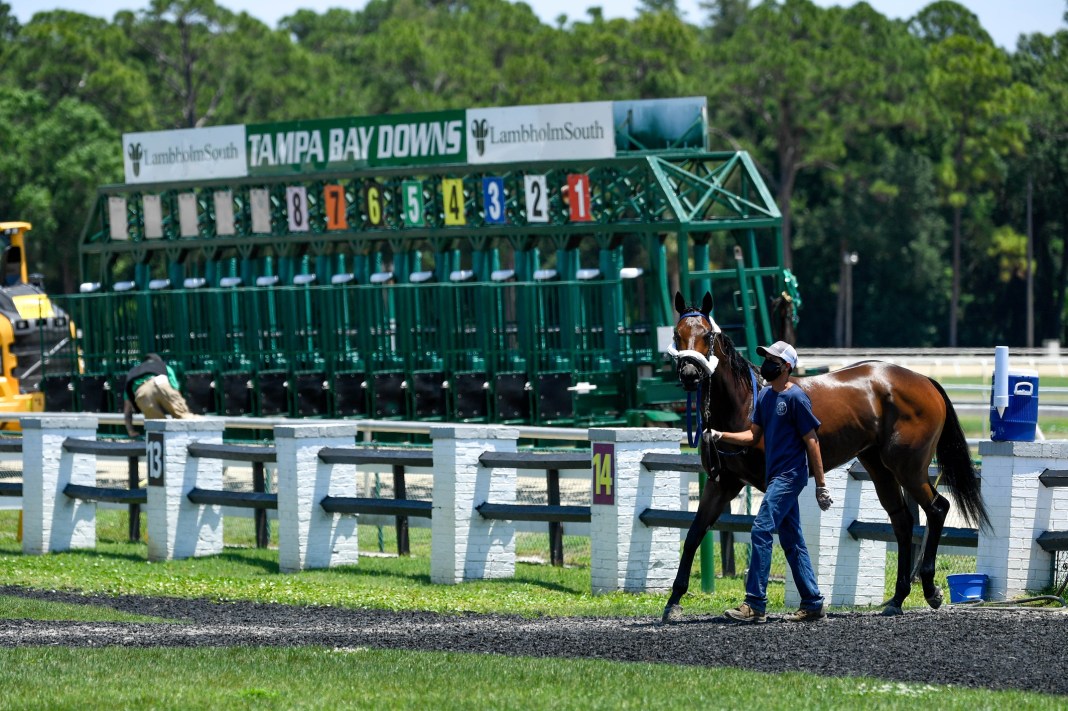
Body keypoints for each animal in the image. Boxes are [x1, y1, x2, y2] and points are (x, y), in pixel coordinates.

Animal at [662, 291, 989, 622]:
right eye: (677, 334)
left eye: (707, 335)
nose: (689, 374)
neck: (746, 403)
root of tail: (925, 380)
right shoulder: (723, 483)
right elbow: (695, 534)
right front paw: (673, 601)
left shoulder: (770, 483)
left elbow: (778, 536)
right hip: (878, 466)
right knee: (902, 520)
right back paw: (897, 598)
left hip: (908, 467)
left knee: (937, 508)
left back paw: (931, 590)